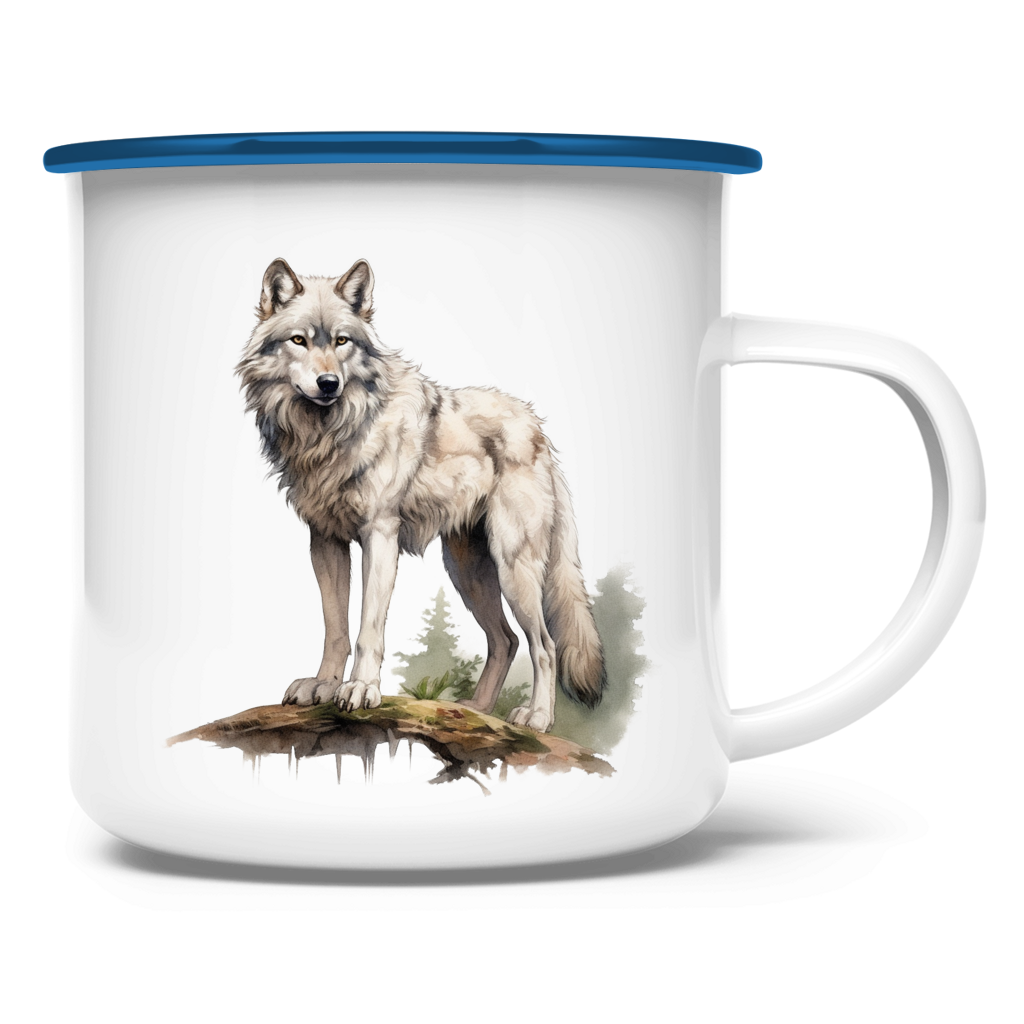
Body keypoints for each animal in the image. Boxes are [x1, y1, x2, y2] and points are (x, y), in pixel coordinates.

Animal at [232, 257, 605, 732]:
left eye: (342, 341)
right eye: (299, 340)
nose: (328, 383)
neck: (328, 434)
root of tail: (539, 426)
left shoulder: (380, 535)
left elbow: (369, 629)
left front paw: (361, 689)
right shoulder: (324, 541)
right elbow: (336, 628)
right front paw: (323, 686)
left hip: (513, 568)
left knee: (544, 644)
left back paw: (536, 718)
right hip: (467, 570)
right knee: (505, 641)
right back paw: (475, 711)